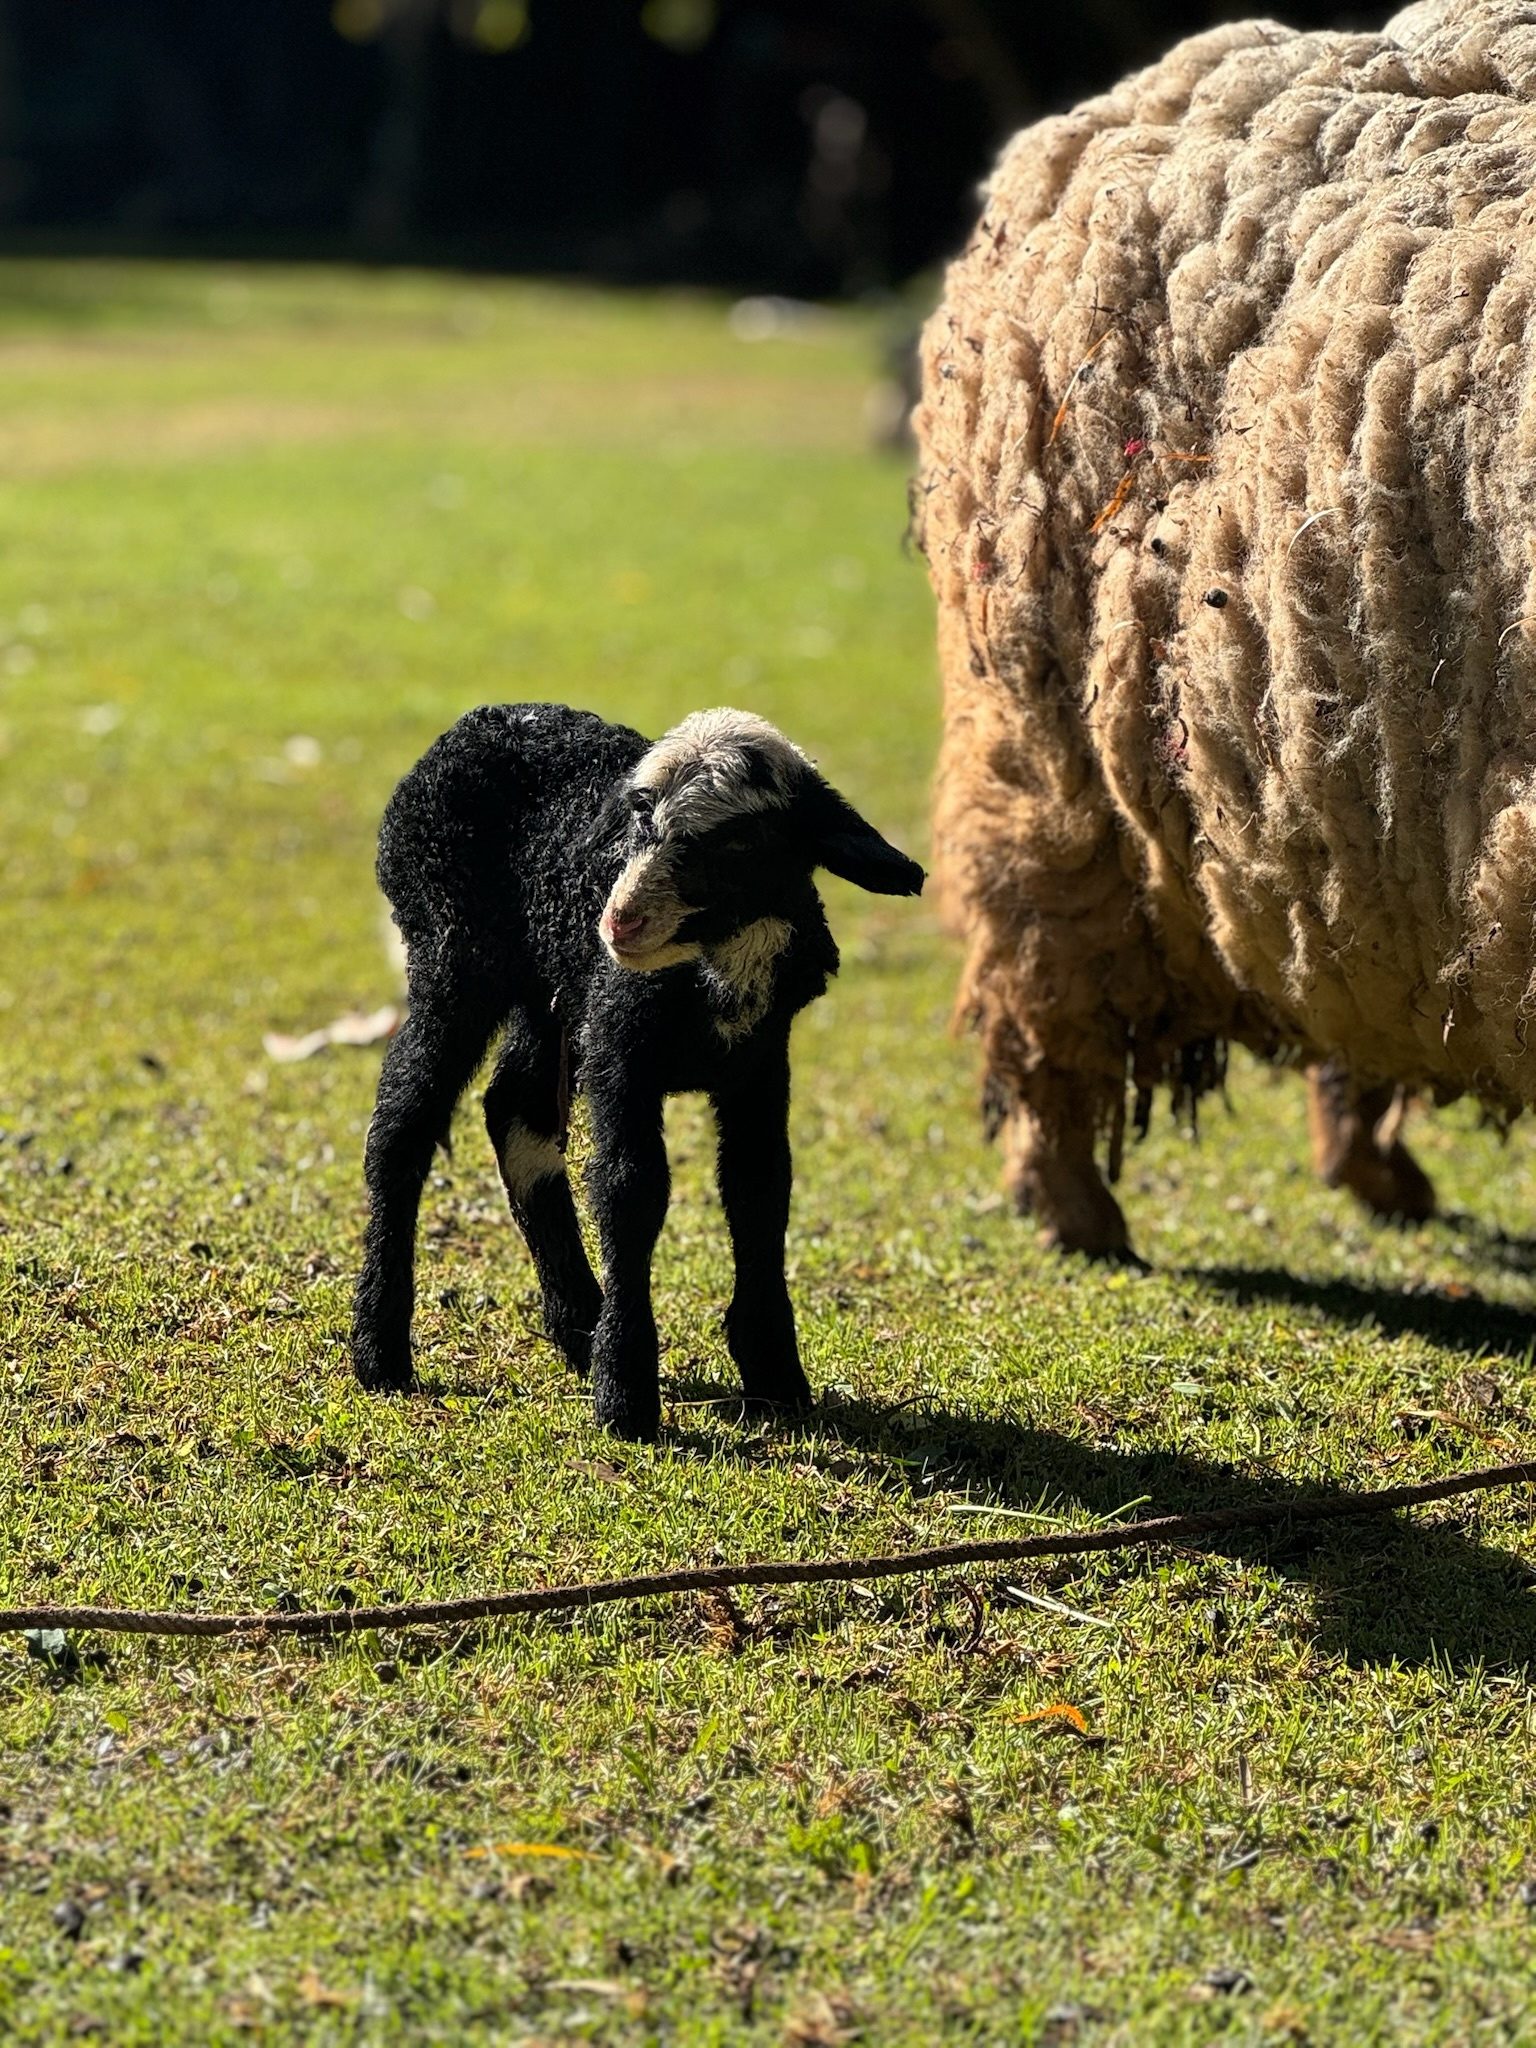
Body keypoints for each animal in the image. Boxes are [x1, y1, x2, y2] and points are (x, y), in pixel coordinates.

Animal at [351, 703, 924, 1439]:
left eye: (739, 844)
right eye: (639, 821)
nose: (619, 922)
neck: (708, 977)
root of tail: (479, 719)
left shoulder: (761, 1060)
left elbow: (760, 1187)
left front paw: (775, 1377)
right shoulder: (619, 1045)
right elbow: (630, 1190)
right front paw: (625, 1395)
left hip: (551, 994)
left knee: (515, 1113)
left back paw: (577, 1325)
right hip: (453, 953)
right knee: (403, 1123)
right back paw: (381, 1352)